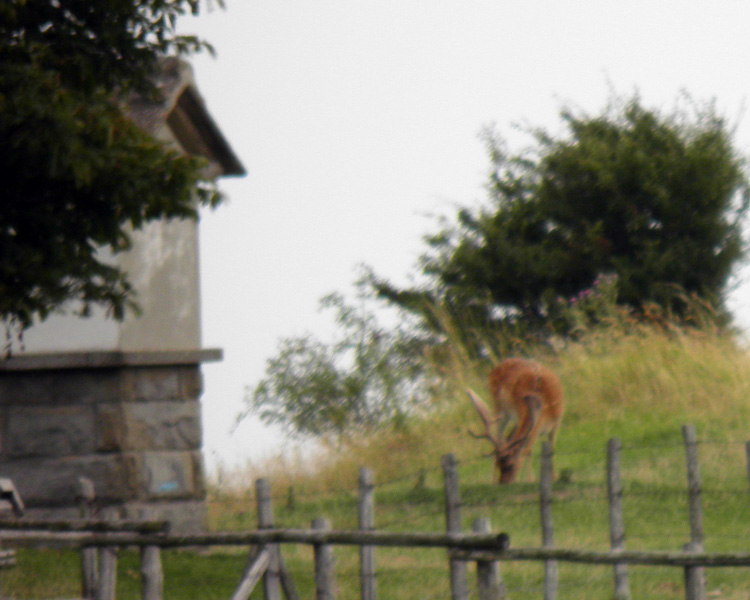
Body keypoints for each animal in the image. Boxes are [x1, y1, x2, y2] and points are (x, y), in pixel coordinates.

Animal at [468, 358, 568, 486]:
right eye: (499, 465)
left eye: (511, 466)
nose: (503, 483)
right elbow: (527, 450)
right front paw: (529, 479)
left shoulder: (556, 422)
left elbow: (548, 448)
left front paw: (553, 477)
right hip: (499, 408)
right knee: (499, 435)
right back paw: (492, 480)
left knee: (507, 438)